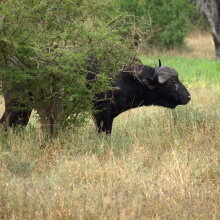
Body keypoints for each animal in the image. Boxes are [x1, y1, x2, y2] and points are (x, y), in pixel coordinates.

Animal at [0, 59, 190, 134]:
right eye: (173, 82)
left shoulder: (110, 115)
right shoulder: (100, 112)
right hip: (16, 104)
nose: (188, 97)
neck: (124, 77)